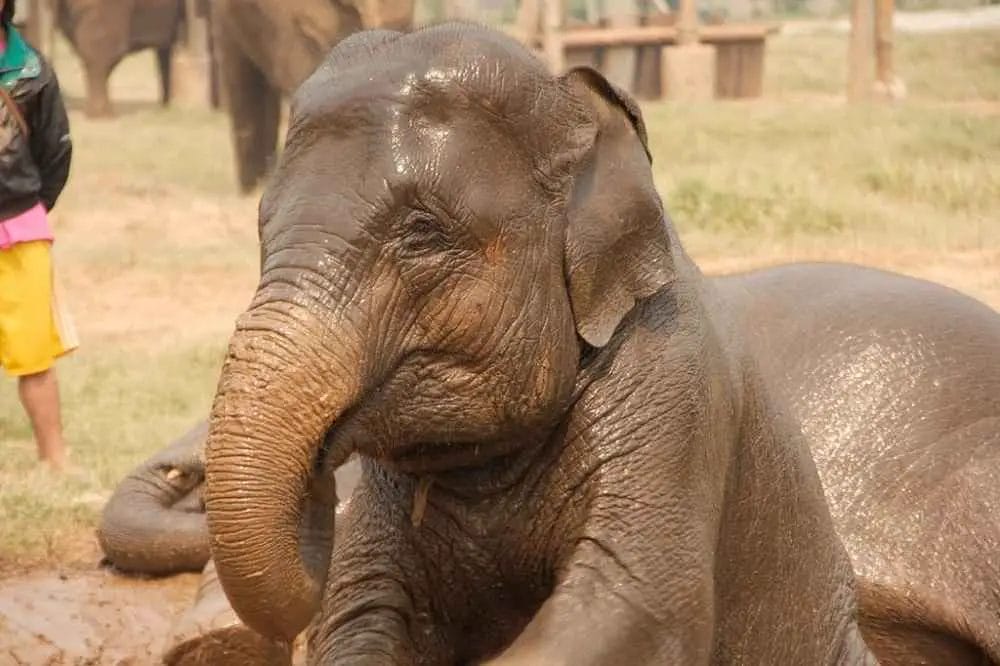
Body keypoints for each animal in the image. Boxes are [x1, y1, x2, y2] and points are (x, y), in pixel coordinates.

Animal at [201, 23, 879, 664]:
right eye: (261, 227)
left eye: (422, 232)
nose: (316, 483)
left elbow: (633, 607)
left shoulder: (677, 395)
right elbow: (362, 613)